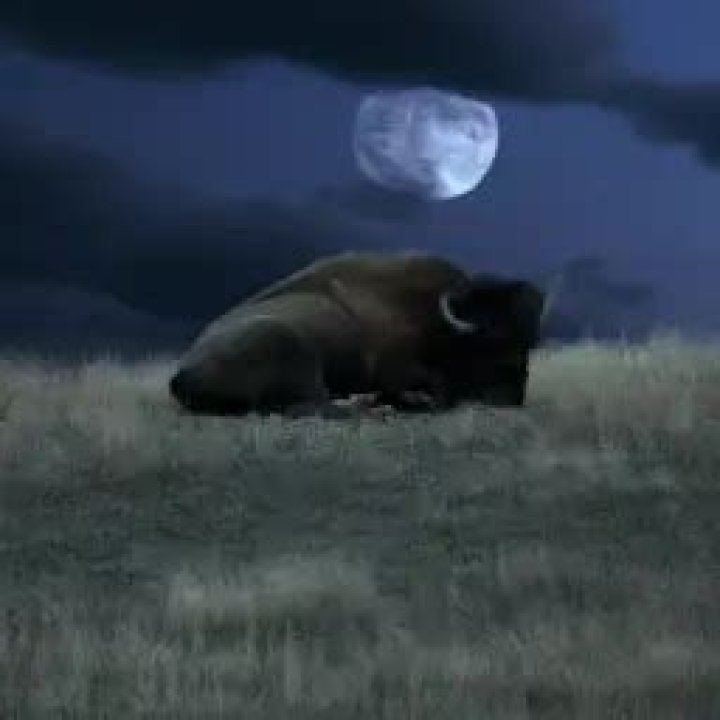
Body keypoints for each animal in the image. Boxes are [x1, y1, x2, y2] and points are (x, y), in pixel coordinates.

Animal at [169, 251, 550, 416]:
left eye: (531, 338)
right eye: (494, 337)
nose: (513, 397)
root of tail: (181, 373)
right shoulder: (394, 366)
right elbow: (432, 386)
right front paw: (417, 401)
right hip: (287, 344)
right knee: (314, 405)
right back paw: (371, 405)